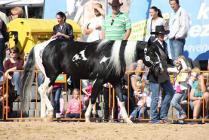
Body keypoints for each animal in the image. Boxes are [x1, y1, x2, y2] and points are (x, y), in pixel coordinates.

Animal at [20, 38, 163, 122]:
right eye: (151, 52)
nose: (160, 68)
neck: (113, 56)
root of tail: (40, 46)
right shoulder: (99, 80)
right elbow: (93, 97)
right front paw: (88, 118)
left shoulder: (116, 82)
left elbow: (121, 100)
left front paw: (128, 120)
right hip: (52, 75)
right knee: (42, 89)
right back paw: (49, 112)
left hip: (49, 77)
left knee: (44, 91)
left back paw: (46, 116)